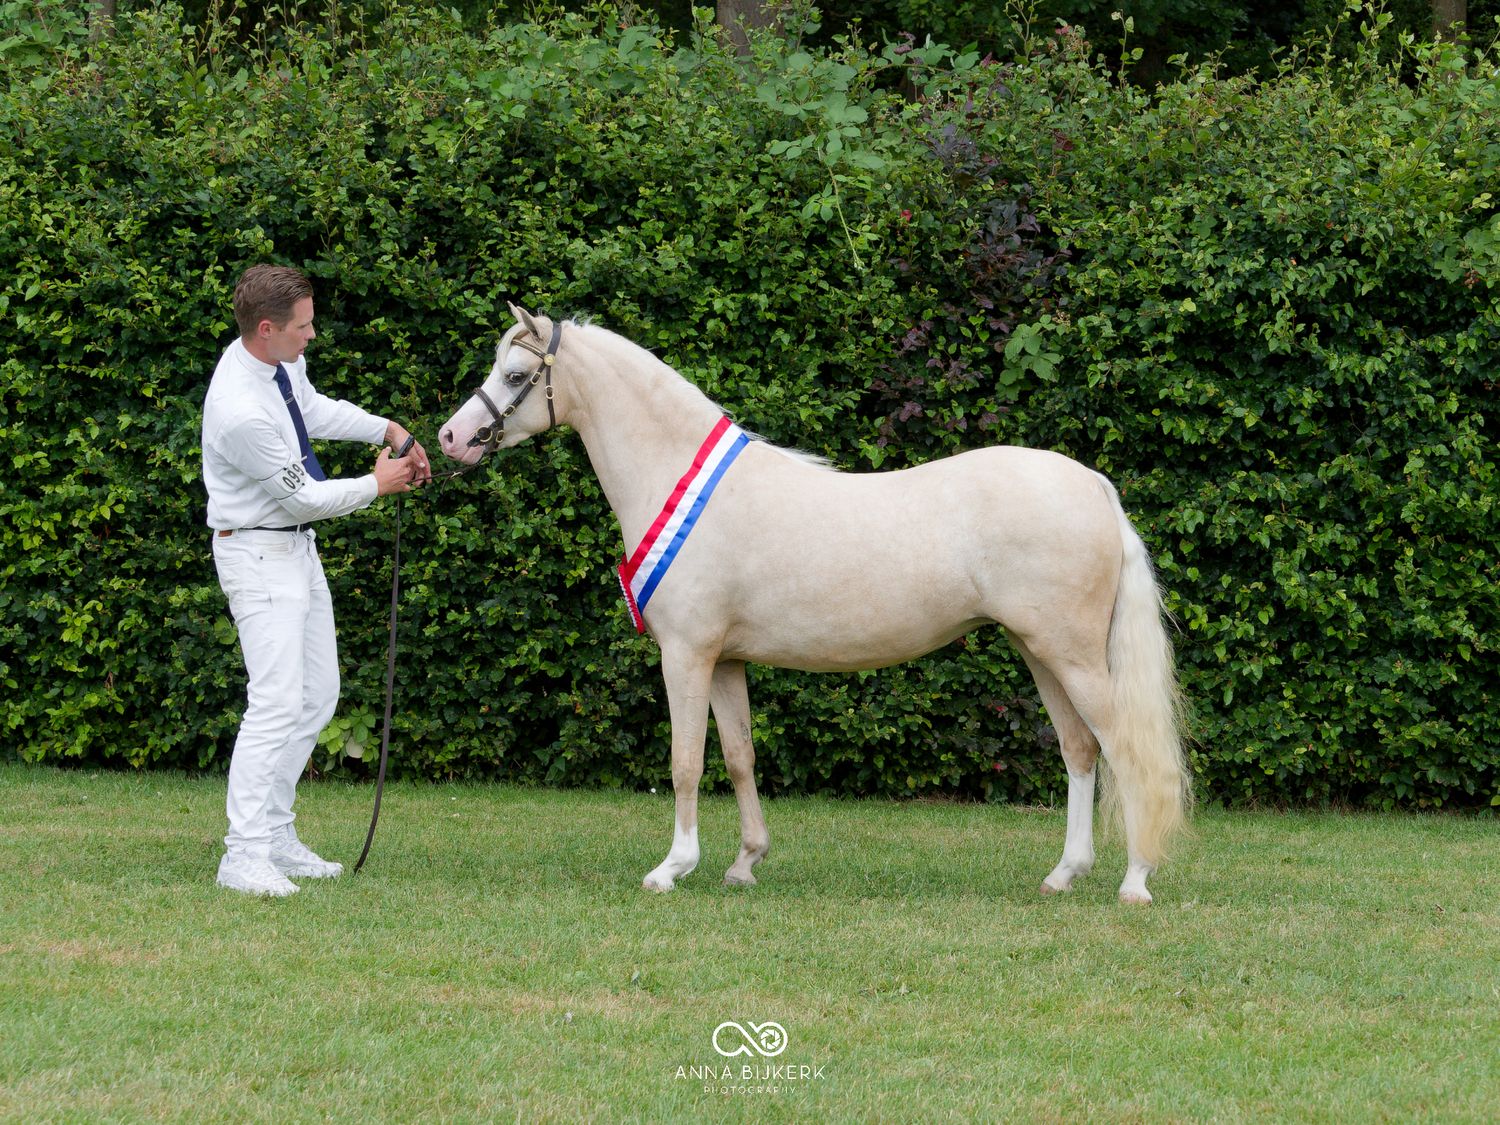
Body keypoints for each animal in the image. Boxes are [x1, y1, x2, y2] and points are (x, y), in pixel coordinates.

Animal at [438, 305, 1190, 904]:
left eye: (515, 375)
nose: (449, 438)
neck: (680, 479)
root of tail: (1094, 484)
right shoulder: (725, 660)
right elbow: (739, 755)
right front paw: (745, 862)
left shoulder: (686, 654)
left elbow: (686, 761)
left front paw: (671, 868)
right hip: (1039, 651)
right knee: (1079, 749)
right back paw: (1065, 874)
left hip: (1072, 655)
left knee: (1123, 747)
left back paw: (1135, 882)